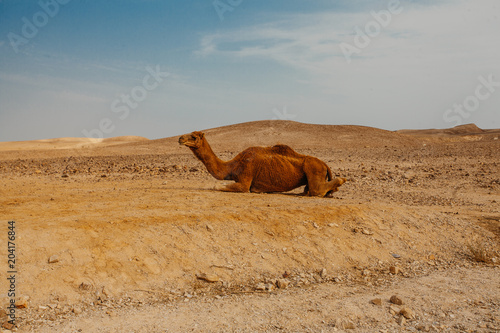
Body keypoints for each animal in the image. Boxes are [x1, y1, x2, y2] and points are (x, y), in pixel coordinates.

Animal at [178, 130, 346, 197]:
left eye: (193, 137)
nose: (180, 138)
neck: (232, 166)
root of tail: (324, 163)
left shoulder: (245, 179)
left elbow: (216, 186)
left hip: (313, 167)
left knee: (317, 190)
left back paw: (341, 180)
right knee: (310, 189)